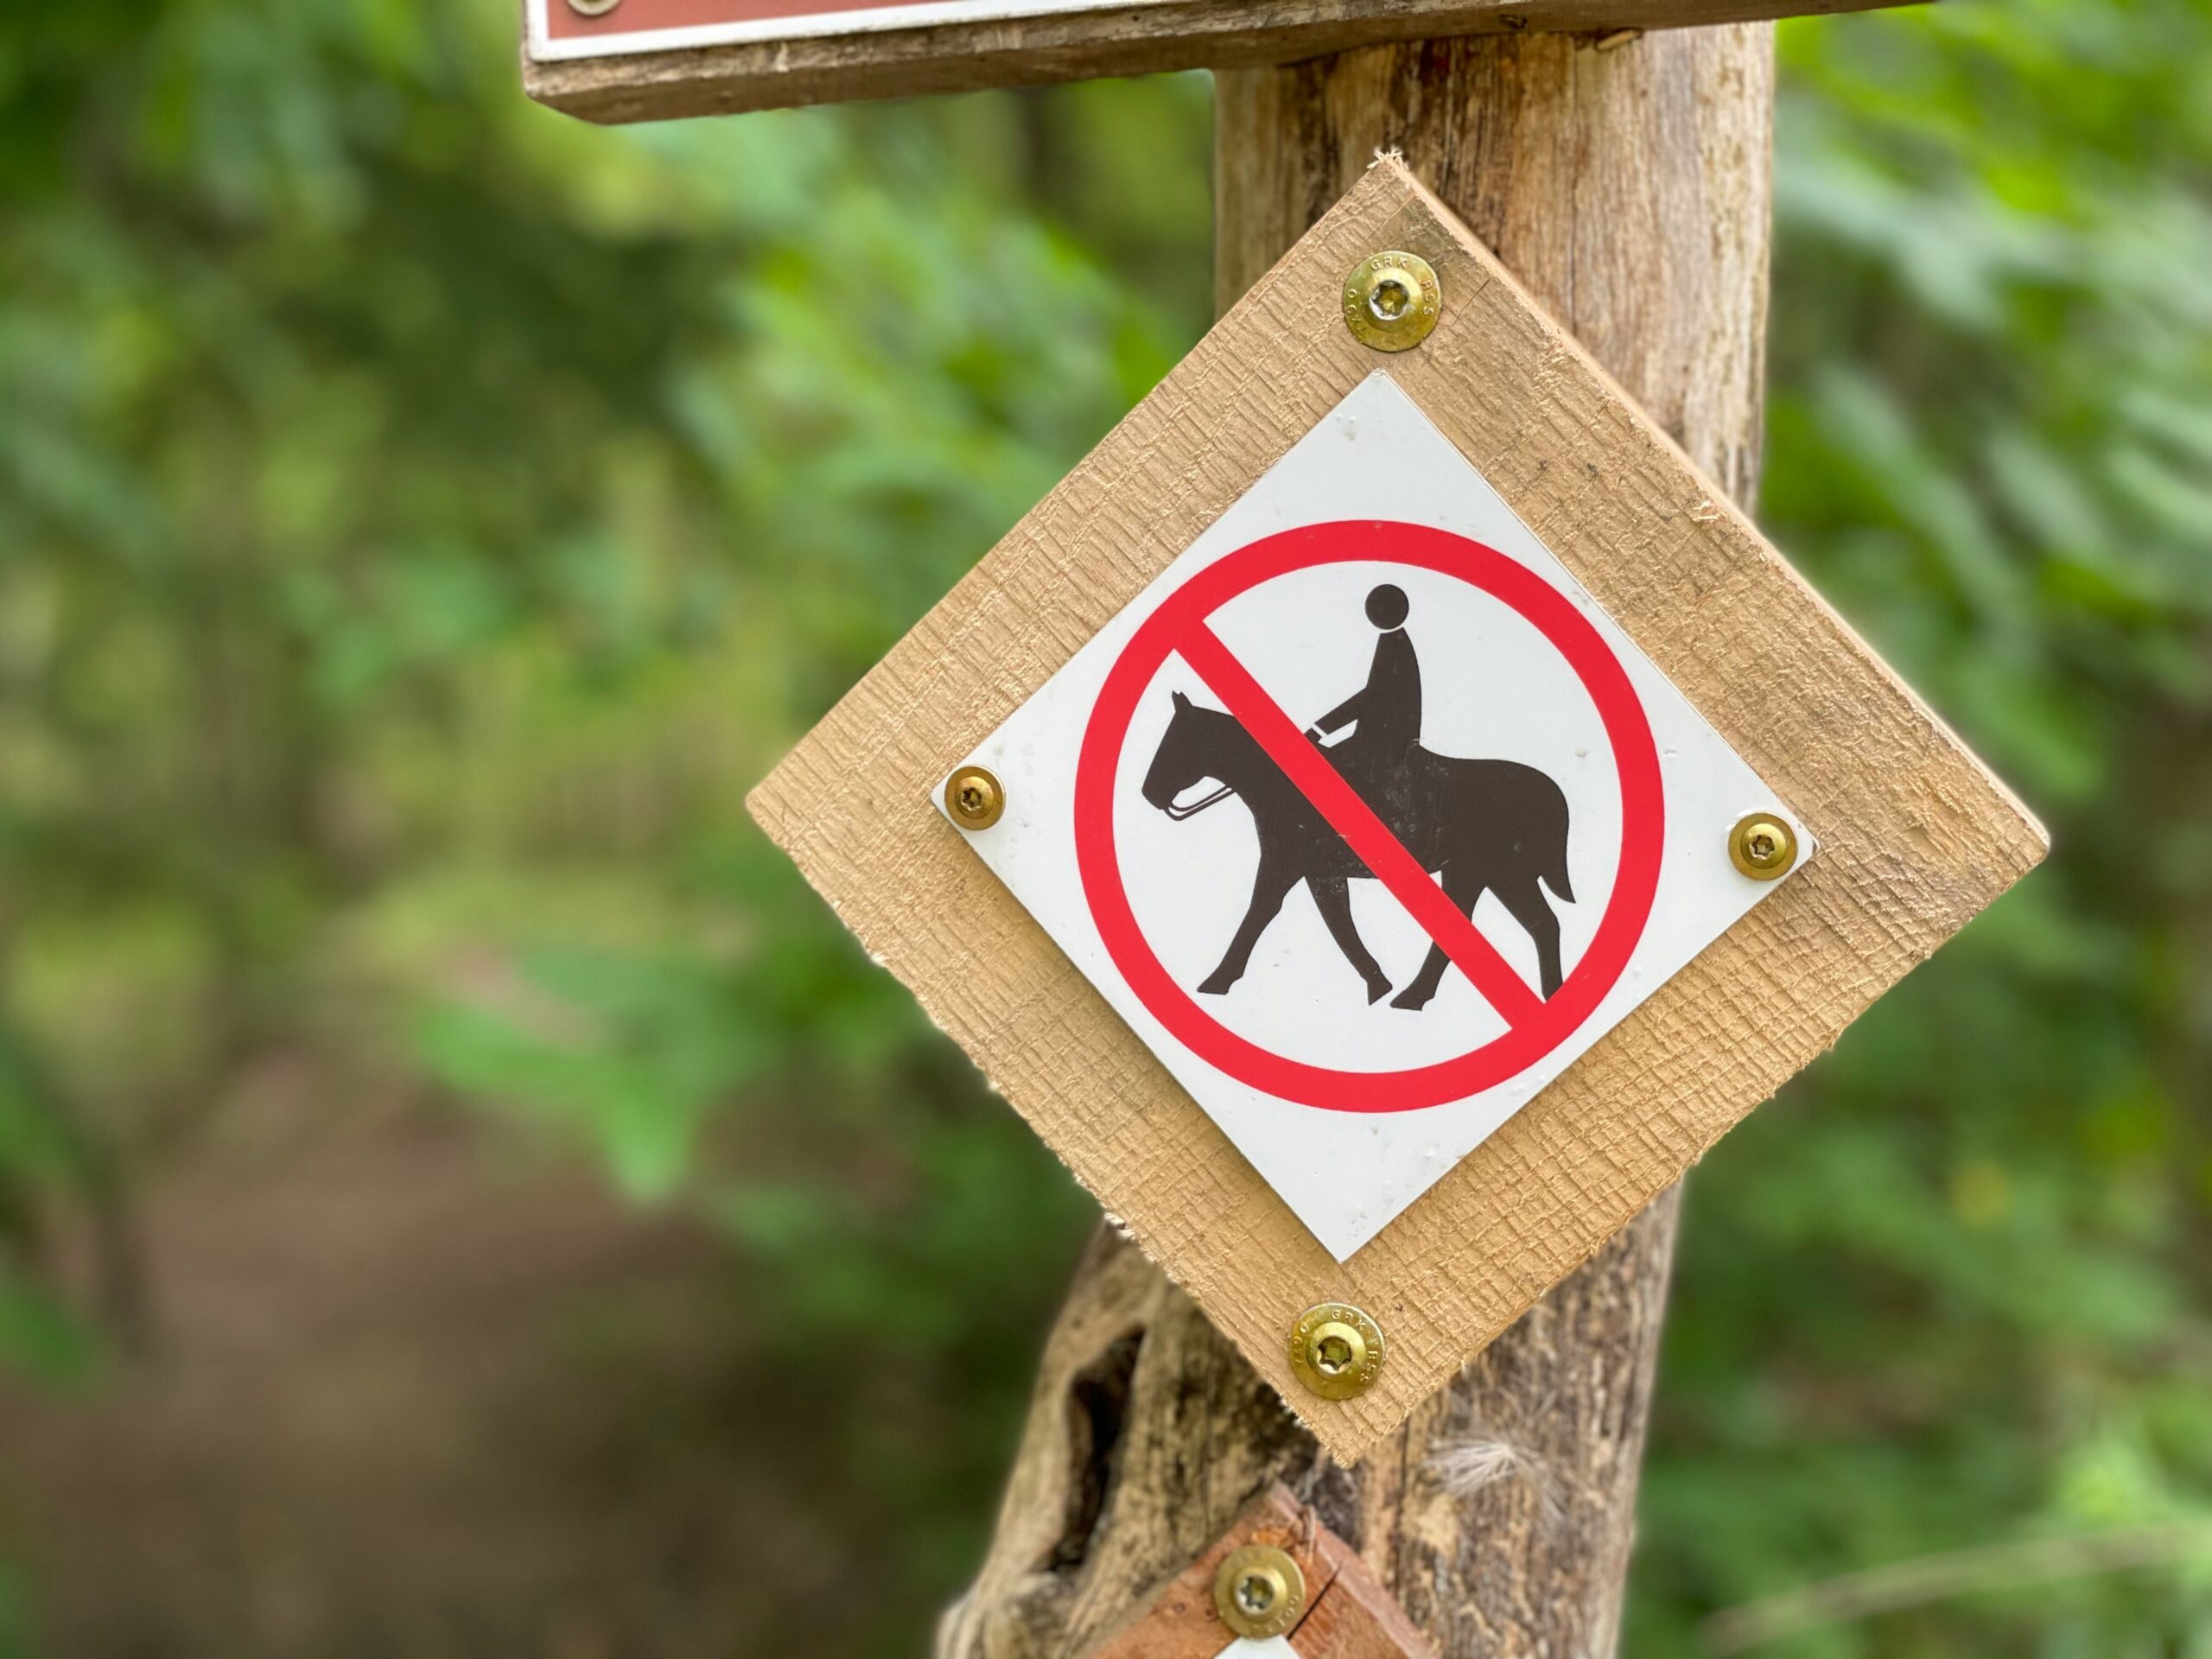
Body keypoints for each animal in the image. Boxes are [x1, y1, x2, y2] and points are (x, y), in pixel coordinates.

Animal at [1138, 690, 1574, 1009]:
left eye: (1177, 741)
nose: (1149, 794)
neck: (1283, 782)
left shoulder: (1298, 865)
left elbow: (1281, 914)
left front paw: (1218, 981)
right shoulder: (1312, 870)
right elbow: (1327, 919)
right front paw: (1377, 983)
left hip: (1485, 872)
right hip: (1491, 874)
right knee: (1539, 924)